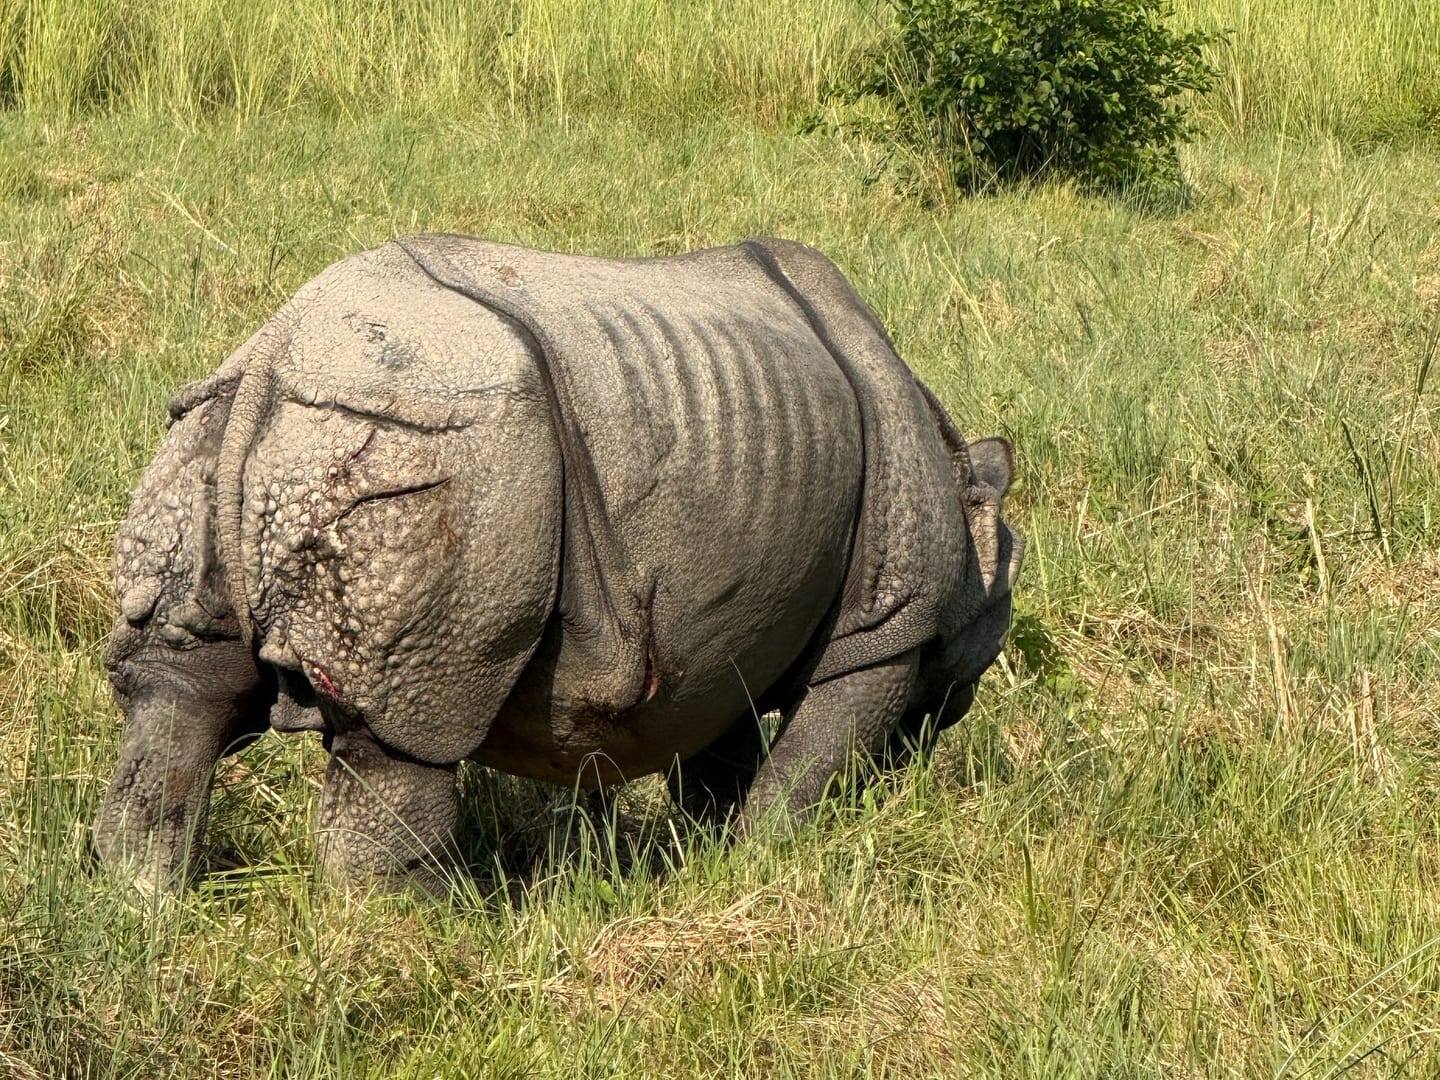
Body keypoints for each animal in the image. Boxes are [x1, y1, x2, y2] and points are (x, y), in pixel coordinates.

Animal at [93, 235, 1023, 891]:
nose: (945, 723)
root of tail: (275, 353)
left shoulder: (733, 625)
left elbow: (718, 755)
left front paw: (709, 858)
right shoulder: (887, 624)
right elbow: (814, 761)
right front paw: (764, 861)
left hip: (222, 429)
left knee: (181, 690)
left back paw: (141, 906)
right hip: (441, 448)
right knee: (402, 735)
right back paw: (428, 932)